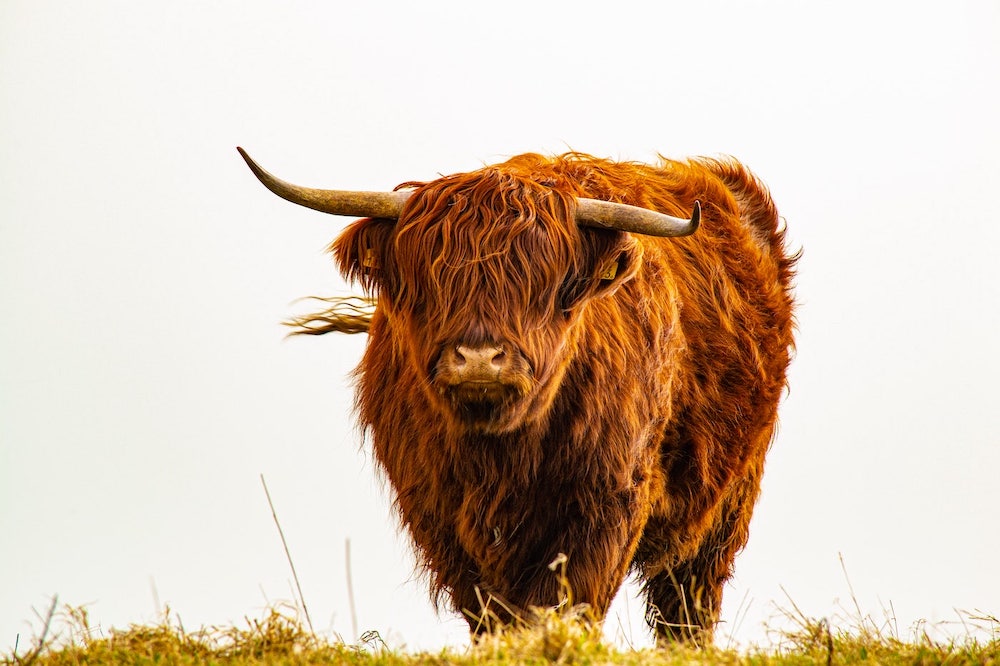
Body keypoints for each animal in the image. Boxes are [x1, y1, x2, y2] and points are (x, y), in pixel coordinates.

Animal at [240, 148, 796, 640]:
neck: (500, 455)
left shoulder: (606, 503)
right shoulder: (440, 516)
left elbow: (562, 605)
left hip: (726, 505)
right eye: (434, 280)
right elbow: (491, 614)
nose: (478, 358)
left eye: (541, 285)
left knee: (687, 604)